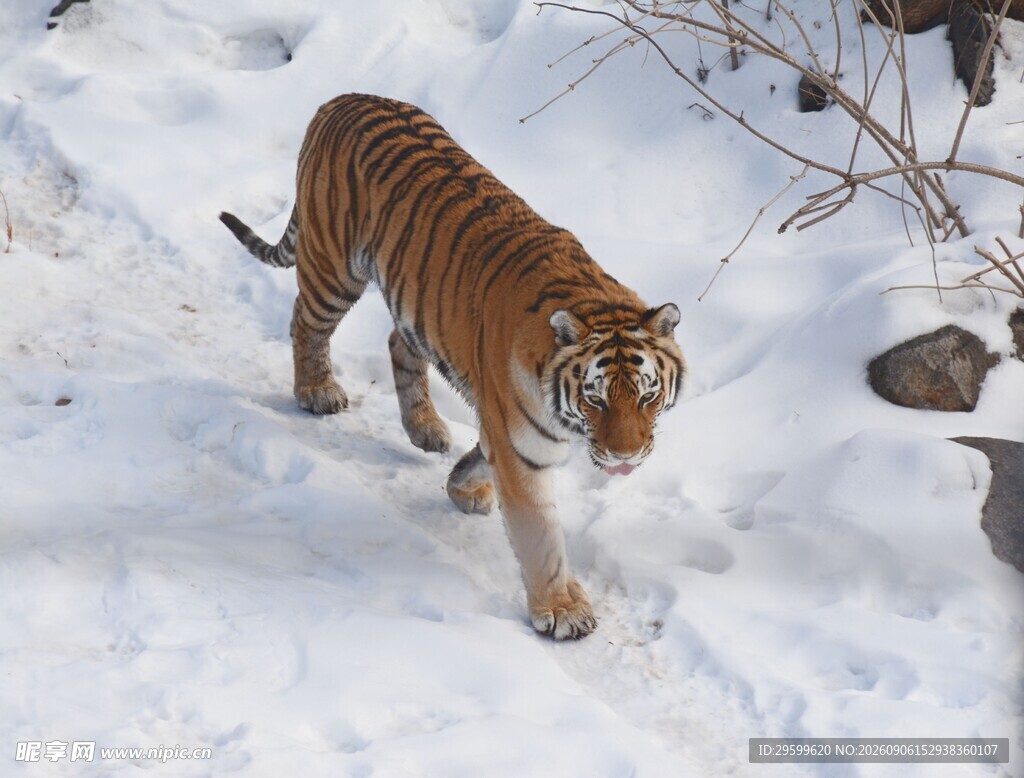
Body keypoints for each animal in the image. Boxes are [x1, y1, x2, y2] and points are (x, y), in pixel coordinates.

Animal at [220, 93, 685, 640]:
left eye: (648, 396)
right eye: (596, 399)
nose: (625, 457)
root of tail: (342, 98)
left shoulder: (506, 427)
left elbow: (482, 455)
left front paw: (464, 486)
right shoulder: (520, 443)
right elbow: (541, 537)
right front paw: (563, 610)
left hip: (413, 307)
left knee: (397, 343)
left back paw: (425, 428)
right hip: (334, 268)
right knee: (304, 322)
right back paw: (317, 390)